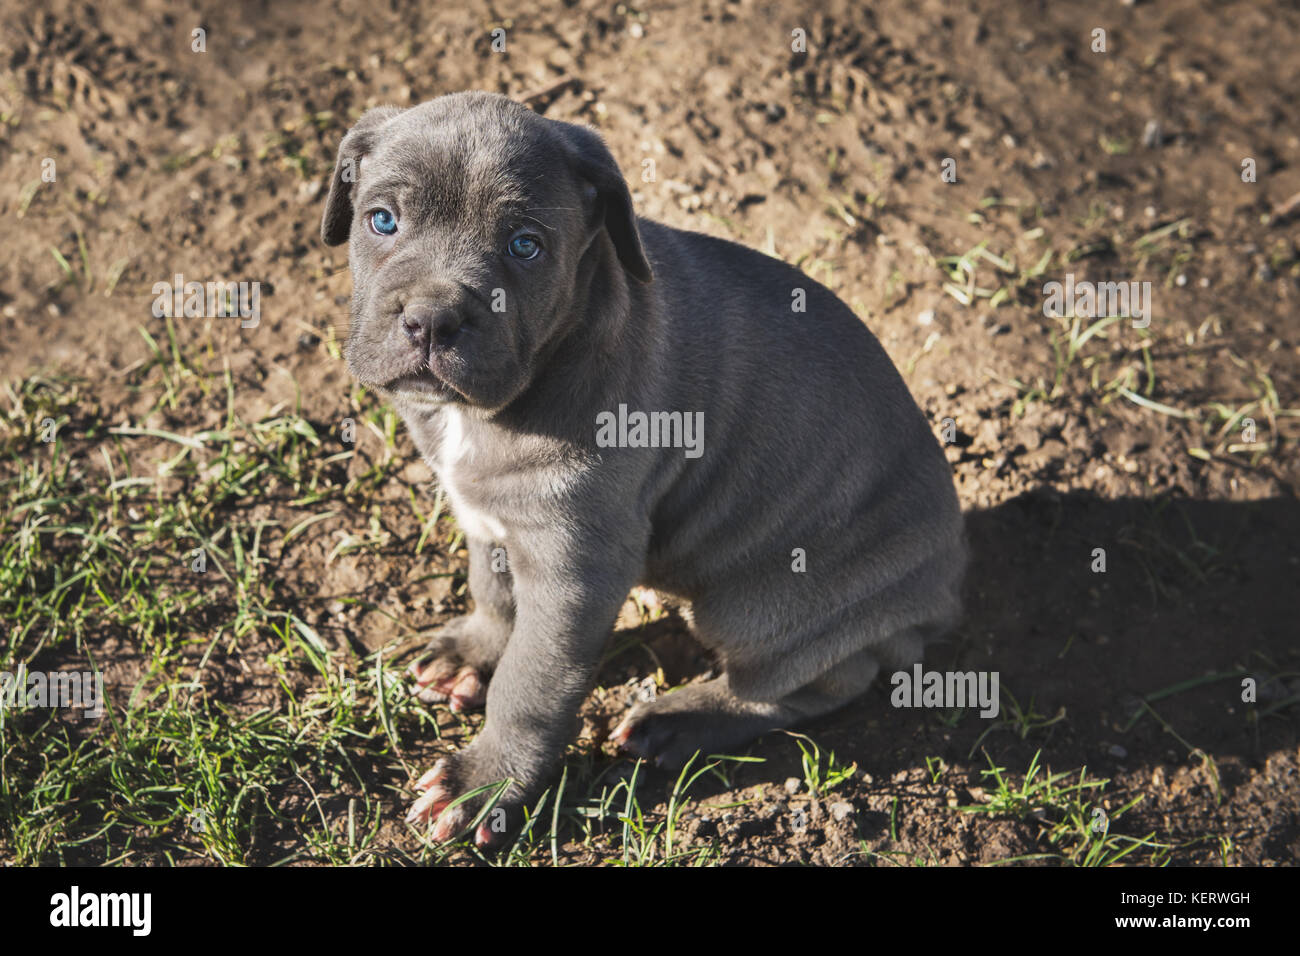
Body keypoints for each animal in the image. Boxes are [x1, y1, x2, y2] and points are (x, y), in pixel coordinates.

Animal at [325, 89, 967, 842]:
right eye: (382, 220)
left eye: (525, 246)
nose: (431, 320)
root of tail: (946, 590)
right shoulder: (491, 518)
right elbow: (493, 591)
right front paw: (474, 651)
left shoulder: (577, 568)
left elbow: (532, 683)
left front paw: (485, 783)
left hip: (764, 608)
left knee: (808, 686)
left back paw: (681, 721)